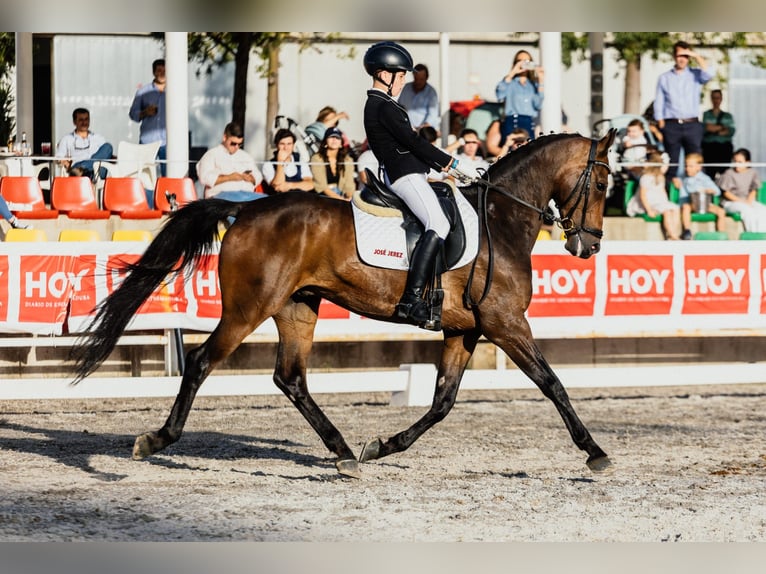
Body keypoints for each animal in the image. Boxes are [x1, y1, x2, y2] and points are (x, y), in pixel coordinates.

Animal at [71, 129, 617, 479]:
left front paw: (382, 447)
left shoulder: (466, 329)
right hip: (249, 308)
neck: (501, 220)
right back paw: (157, 439)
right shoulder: (506, 324)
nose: (588, 246)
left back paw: (345, 454)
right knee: (203, 361)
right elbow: (553, 384)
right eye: (603, 183)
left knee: (290, 378)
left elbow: (442, 402)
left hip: (297, 308)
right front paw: (594, 452)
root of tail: (245, 209)